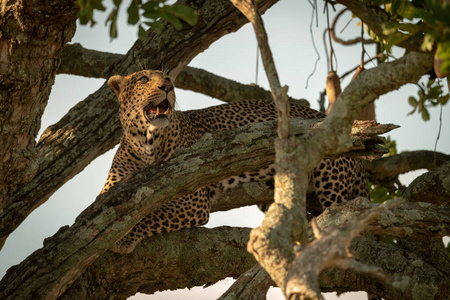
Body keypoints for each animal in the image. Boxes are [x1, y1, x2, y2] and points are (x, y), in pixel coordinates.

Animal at [102, 69, 370, 253]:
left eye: (167, 77)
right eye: (143, 79)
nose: (167, 86)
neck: (146, 141)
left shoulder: (192, 200)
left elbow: (150, 215)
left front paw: (123, 238)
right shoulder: (110, 192)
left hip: (330, 177)